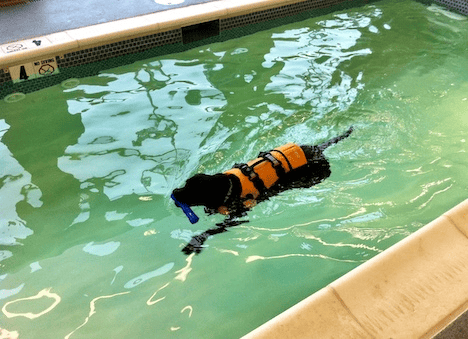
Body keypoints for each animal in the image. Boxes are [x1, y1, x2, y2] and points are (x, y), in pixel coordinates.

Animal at [174, 127, 352, 255]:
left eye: (193, 191)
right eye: (186, 184)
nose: (174, 192)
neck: (230, 185)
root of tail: (317, 147)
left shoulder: (238, 216)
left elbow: (213, 229)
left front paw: (195, 242)